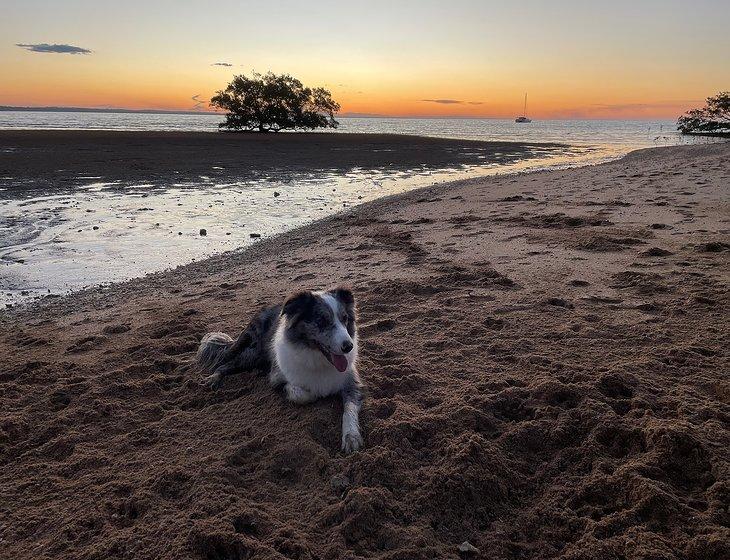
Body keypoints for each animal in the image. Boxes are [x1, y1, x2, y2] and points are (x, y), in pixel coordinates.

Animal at [195, 286, 362, 452]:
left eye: (345, 319)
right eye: (321, 321)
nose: (348, 346)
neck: (317, 359)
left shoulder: (351, 382)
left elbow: (349, 409)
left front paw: (351, 436)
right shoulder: (276, 379)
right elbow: (303, 394)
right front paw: (315, 394)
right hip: (254, 353)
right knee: (224, 365)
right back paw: (213, 378)